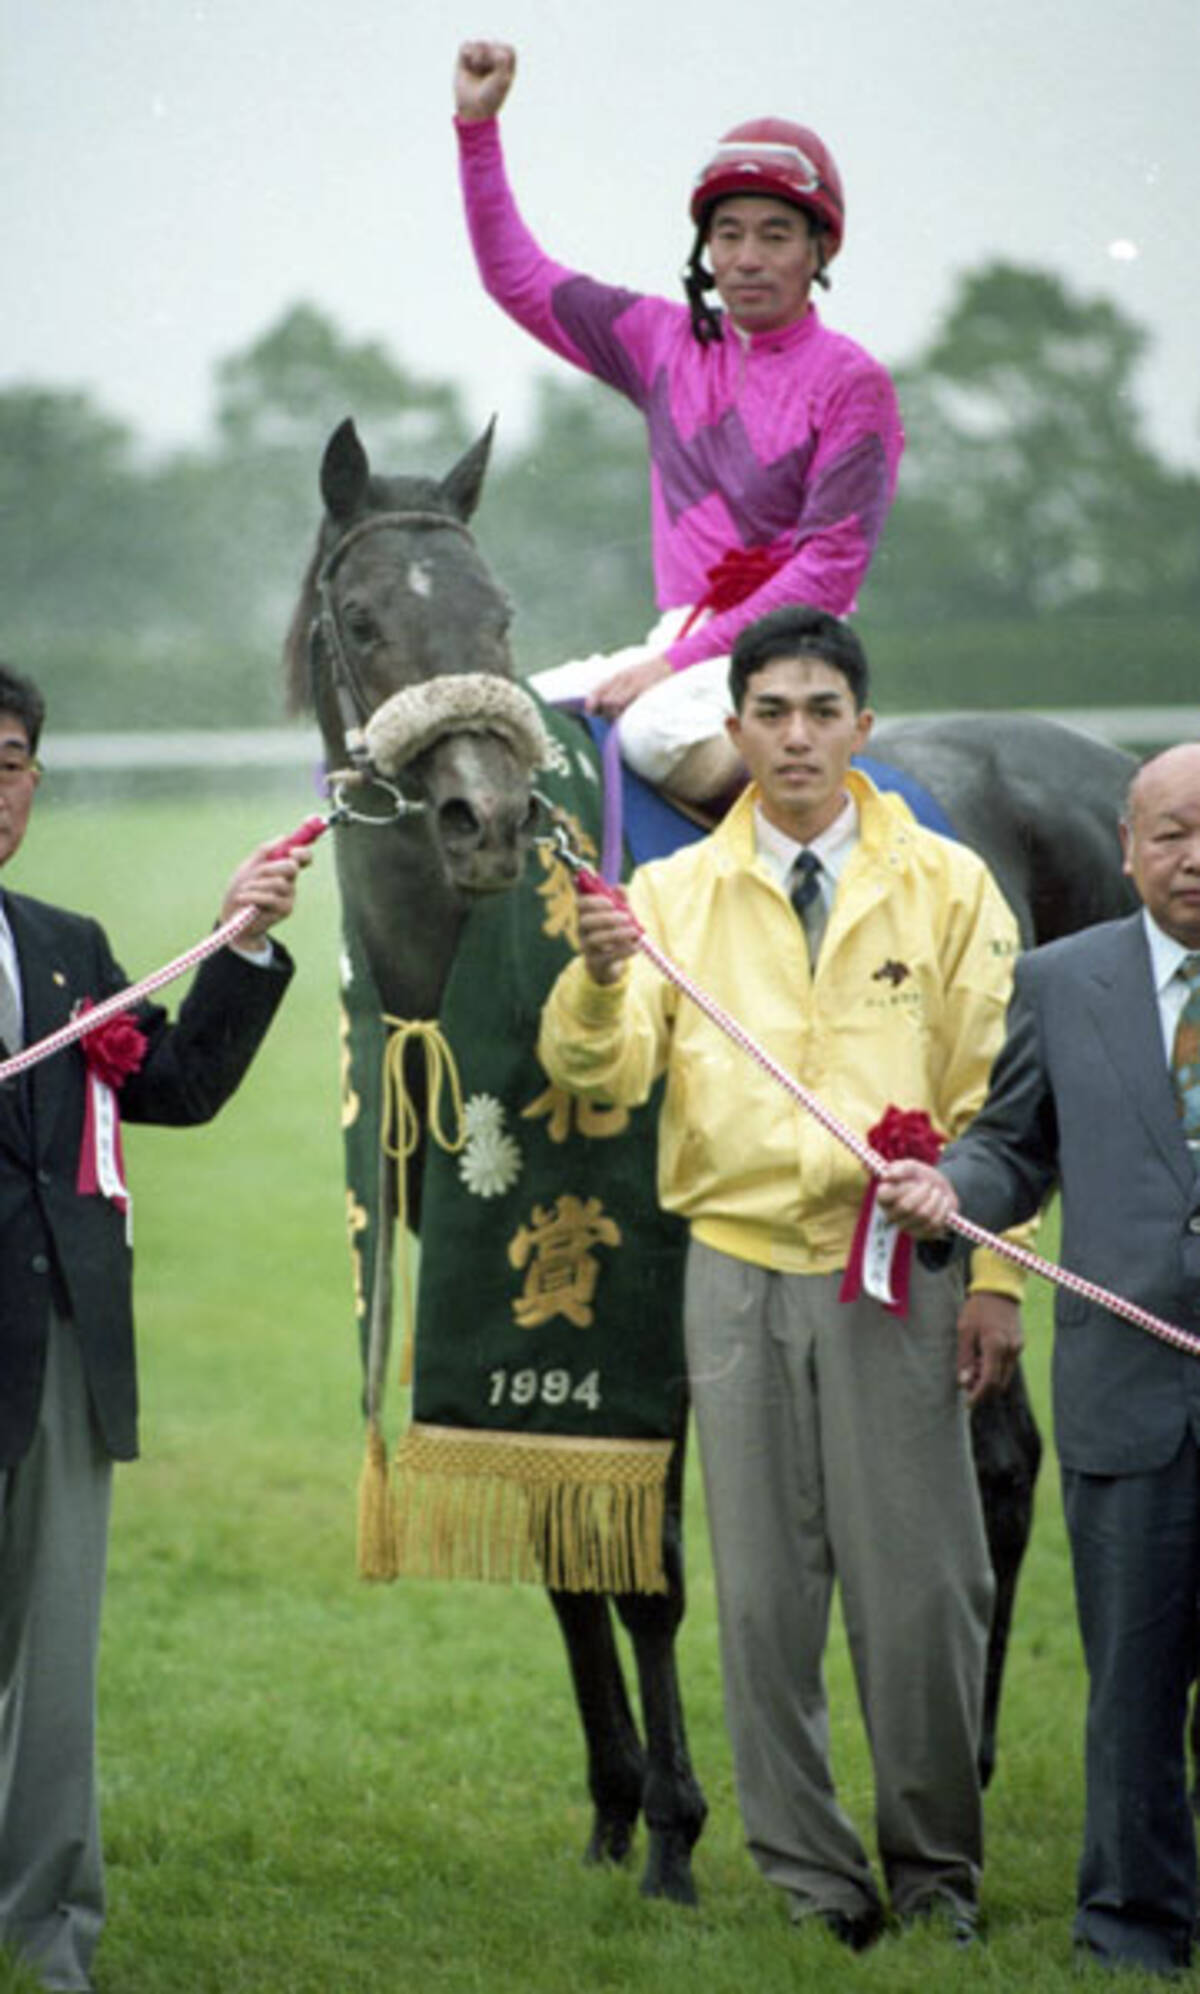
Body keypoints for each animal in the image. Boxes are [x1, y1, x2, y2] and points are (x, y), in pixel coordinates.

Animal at [283, 424, 1132, 1898]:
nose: (483, 815)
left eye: (498, 616)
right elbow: (565, 1541)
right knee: (1003, 1454)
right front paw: (616, 1810)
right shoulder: (492, 1285)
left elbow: (658, 1565)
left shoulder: (654, 1279)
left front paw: (677, 1829)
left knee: (1006, 1462)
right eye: (366, 619)